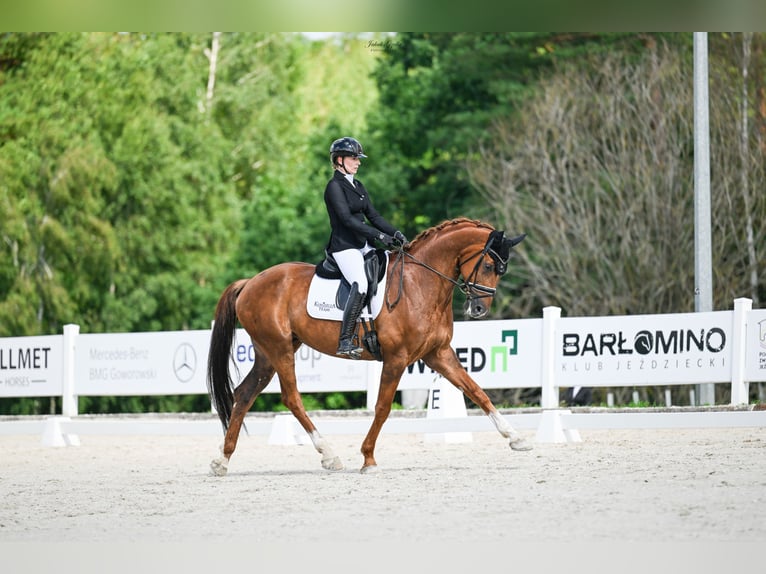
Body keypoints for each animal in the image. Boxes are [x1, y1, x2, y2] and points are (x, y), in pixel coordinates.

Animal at [210, 218, 536, 474]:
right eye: (490, 265)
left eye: (502, 270)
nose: (479, 310)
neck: (421, 284)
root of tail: (250, 282)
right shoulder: (397, 358)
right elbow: (382, 406)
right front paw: (368, 458)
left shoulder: (437, 354)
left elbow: (477, 391)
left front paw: (516, 438)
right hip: (279, 349)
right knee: (291, 398)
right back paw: (329, 455)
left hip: (268, 353)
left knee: (244, 394)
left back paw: (222, 461)